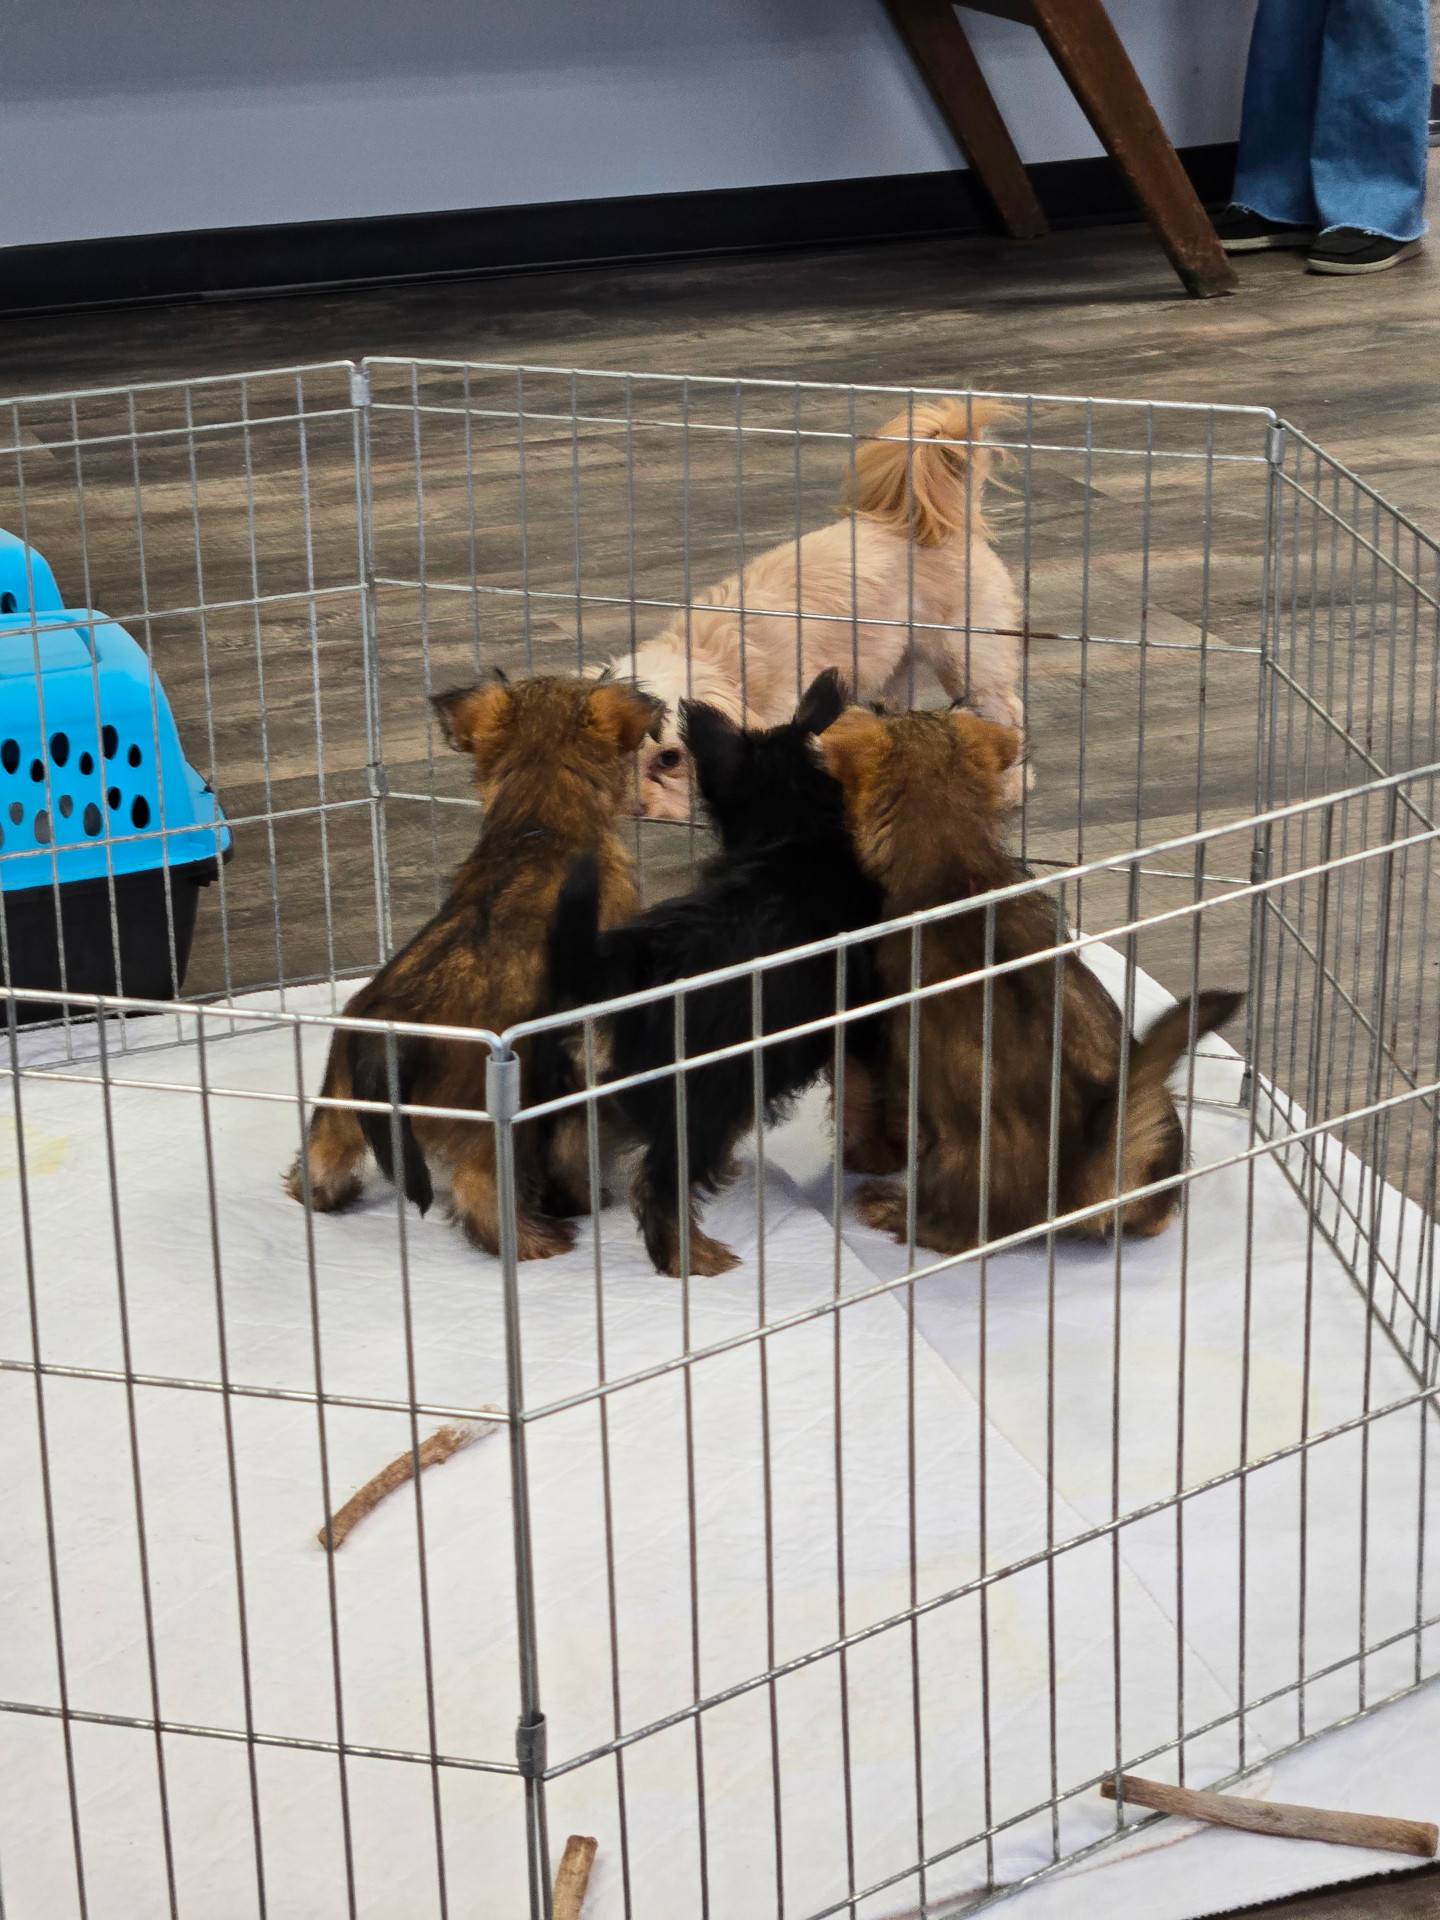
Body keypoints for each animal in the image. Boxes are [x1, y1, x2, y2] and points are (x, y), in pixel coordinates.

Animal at [284, 672, 663, 1260]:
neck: (538, 822)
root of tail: (389, 1040)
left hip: (339, 1103)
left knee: (320, 1160)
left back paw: (327, 1195)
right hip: (499, 1118)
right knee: (479, 1189)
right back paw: (535, 1243)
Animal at [549, 668, 885, 1277]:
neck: (794, 828)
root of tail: (624, 966)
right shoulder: (858, 1021)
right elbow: (862, 1094)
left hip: (621, 1079)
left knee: (579, 1136)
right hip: (706, 1089)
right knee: (657, 1181)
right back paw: (693, 1258)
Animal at [599, 396, 1023, 821]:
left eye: (669, 757)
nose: (633, 810)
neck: (719, 661)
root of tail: (942, 527)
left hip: (967, 658)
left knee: (1005, 713)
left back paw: (1010, 788)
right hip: (892, 668)